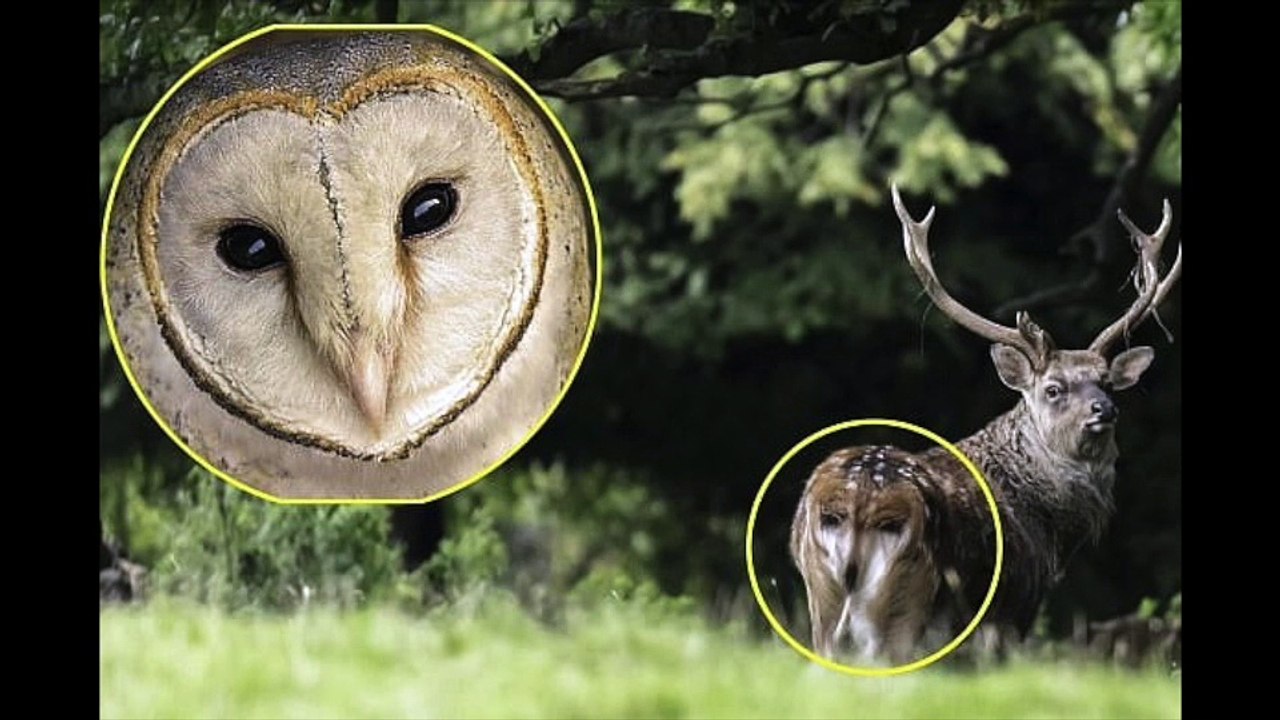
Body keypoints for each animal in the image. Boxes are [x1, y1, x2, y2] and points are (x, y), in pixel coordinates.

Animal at [790, 185, 1181, 665]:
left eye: (1107, 382)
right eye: (1053, 389)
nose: (1103, 410)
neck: (1051, 530)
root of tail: (856, 499)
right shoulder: (1013, 604)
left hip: (822, 601)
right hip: (905, 600)